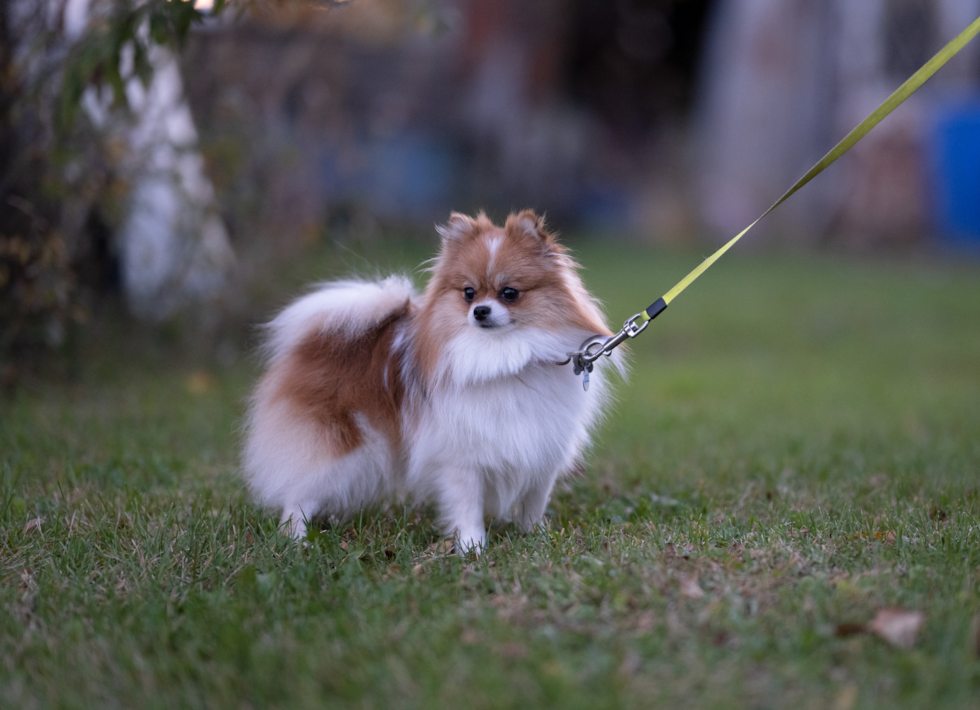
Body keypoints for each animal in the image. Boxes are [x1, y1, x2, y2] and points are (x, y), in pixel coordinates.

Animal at [245, 209, 628, 552]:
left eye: (509, 293)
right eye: (469, 292)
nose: (480, 311)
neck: (504, 358)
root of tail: (313, 343)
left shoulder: (541, 450)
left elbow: (533, 503)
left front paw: (535, 537)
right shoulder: (463, 457)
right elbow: (468, 505)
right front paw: (472, 547)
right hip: (340, 447)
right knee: (300, 491)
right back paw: (296, 537)